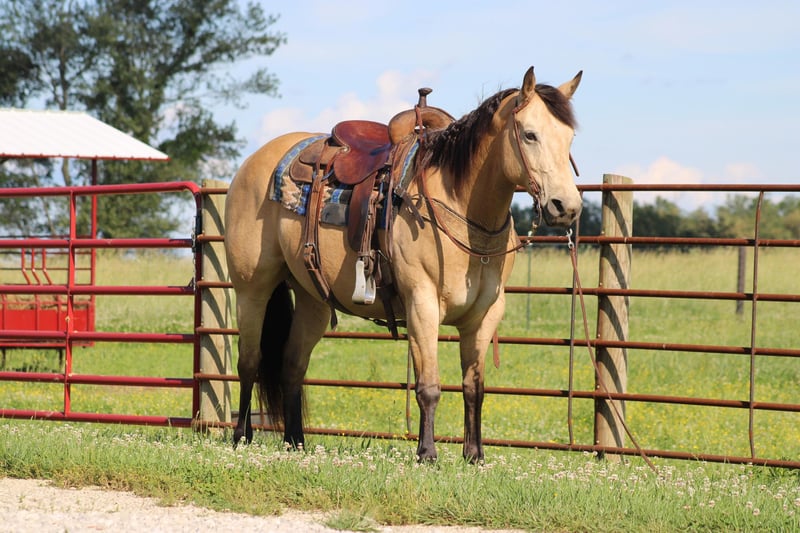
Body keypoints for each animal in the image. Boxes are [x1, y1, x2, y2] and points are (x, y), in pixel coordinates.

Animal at [224, 66, 582, 462]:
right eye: (530, 135)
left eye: (569, 138)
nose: (566, 206)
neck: (460, 207)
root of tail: (255, 162)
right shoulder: (422, 305)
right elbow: (429, 386)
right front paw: (426, 453)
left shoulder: (486, 314)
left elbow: (474, 387)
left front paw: (474, 455)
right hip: (252, 289)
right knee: (249, 361)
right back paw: (241, 436)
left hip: (311, 300)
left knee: (291, 365)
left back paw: (295, 441)